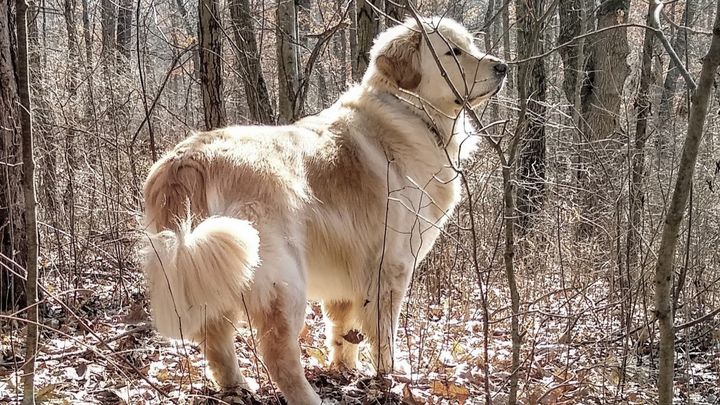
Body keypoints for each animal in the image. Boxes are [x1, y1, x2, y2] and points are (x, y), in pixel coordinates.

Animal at [142, 16, 506, 404]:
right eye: (453, 52)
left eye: (471, 45)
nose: (502, 67)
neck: (408, 110)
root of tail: (190, 159)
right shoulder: (391, 267)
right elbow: (384, 333)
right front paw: (390, 375)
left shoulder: (348, 275)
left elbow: (344, 329)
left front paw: (345, 367)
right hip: (281, 280)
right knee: (278, 355)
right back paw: (308, 396)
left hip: (212, 271)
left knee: (216, 341)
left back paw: (236, 386)